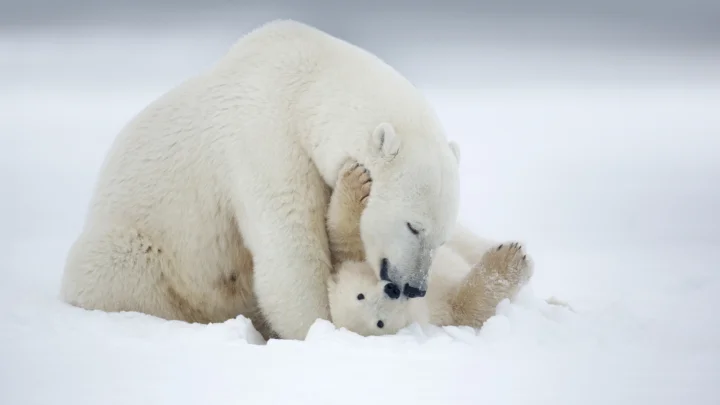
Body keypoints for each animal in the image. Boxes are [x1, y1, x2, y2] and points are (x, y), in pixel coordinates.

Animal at [59, 19, 462, 340]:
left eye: (441, 238)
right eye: (413, 226)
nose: (414, 287)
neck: (307, 85)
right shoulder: (266, 141)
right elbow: (290, 248)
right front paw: (319, 328)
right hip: (139, 248)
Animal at [324, 161, 533, 336]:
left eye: (360, 295)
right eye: (379, 323)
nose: (392, 290)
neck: (420, 302)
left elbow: (347, 236)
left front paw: (357, 179)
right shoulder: (440, 312)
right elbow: (467, 308)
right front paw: (510, 259)